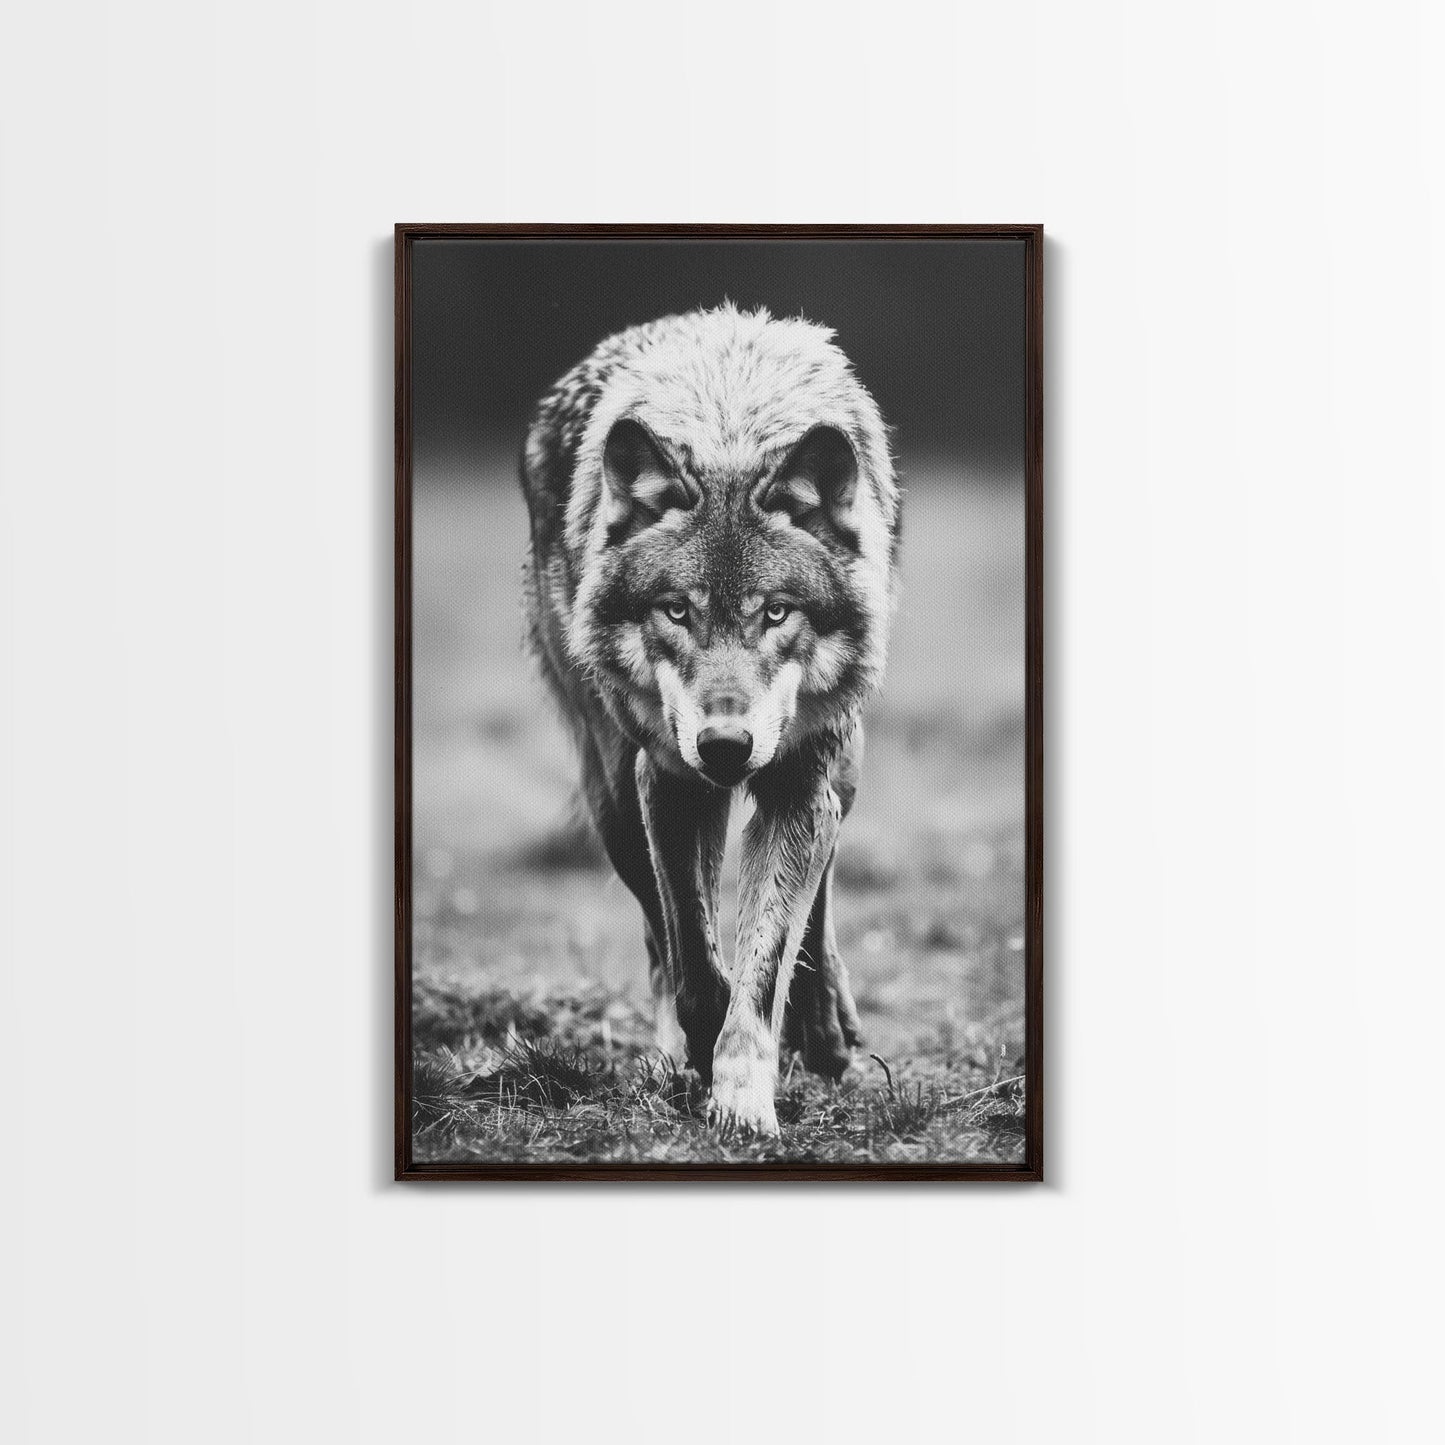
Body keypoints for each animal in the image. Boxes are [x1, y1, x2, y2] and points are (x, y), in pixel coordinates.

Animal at [520, 304, 901, 1136]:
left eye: (776, 612)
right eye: (675, 610)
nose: (725, 745)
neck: (729, 427)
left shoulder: (795, 784)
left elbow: (765, 955)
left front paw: (744, 1097)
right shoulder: (666, 780)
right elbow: (694, 956)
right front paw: (703, 1048)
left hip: (839, 763)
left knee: (820, 889)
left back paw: (825, 1025)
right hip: (611, 792)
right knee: (658, 938)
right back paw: (679, 1051)